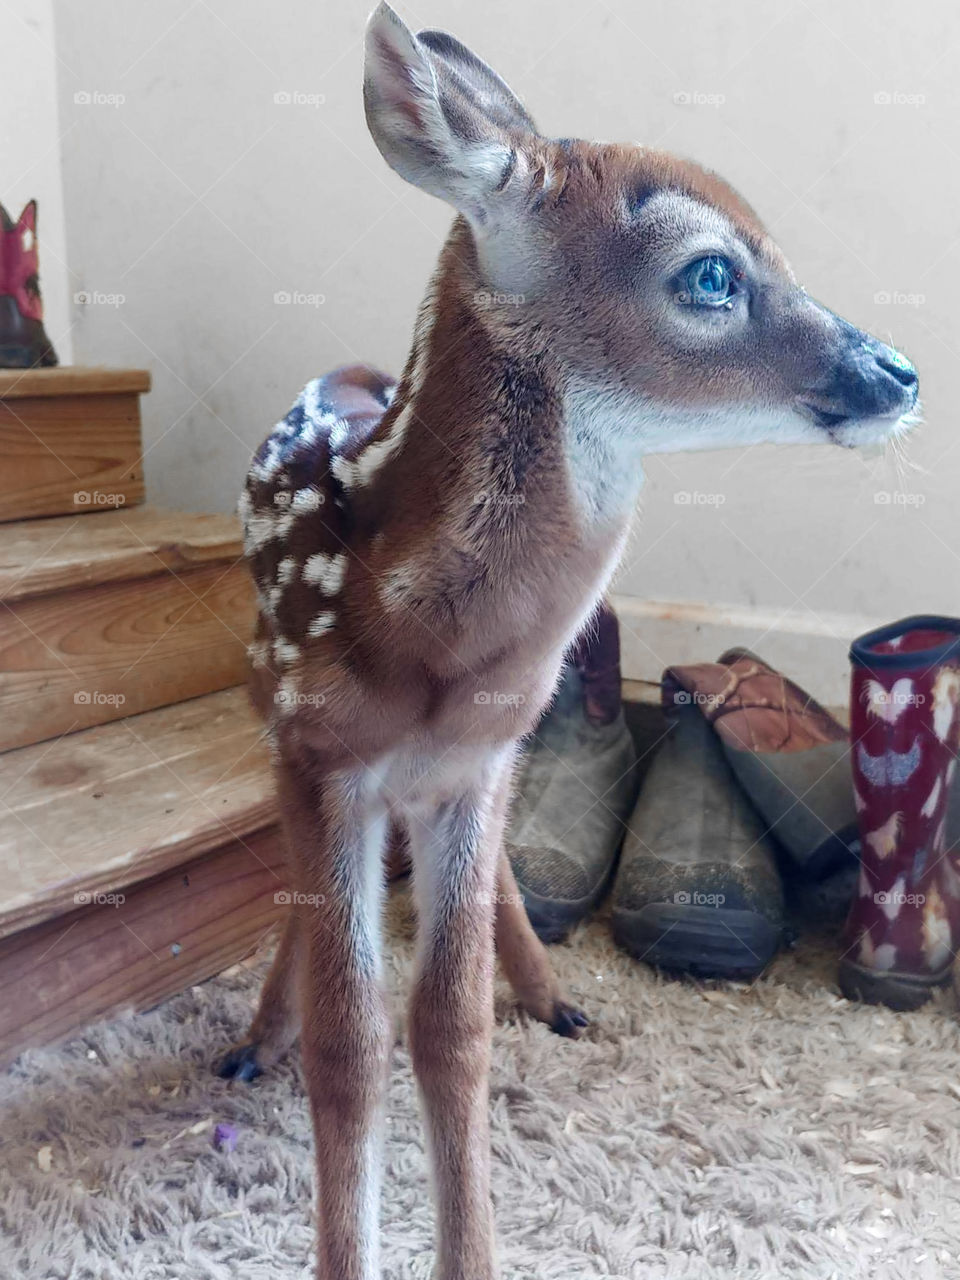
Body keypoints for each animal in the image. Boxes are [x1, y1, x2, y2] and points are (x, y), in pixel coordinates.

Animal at [220, 5, 919, 1277]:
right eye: (710, 271)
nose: (899, 370)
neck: (422, 637)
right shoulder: (321, 751)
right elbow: (353, 1040)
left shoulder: (476, 761)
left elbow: (449, 1027)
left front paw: (475, 1251)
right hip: (271, 704)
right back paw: (257, 1037)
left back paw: (551, 993)